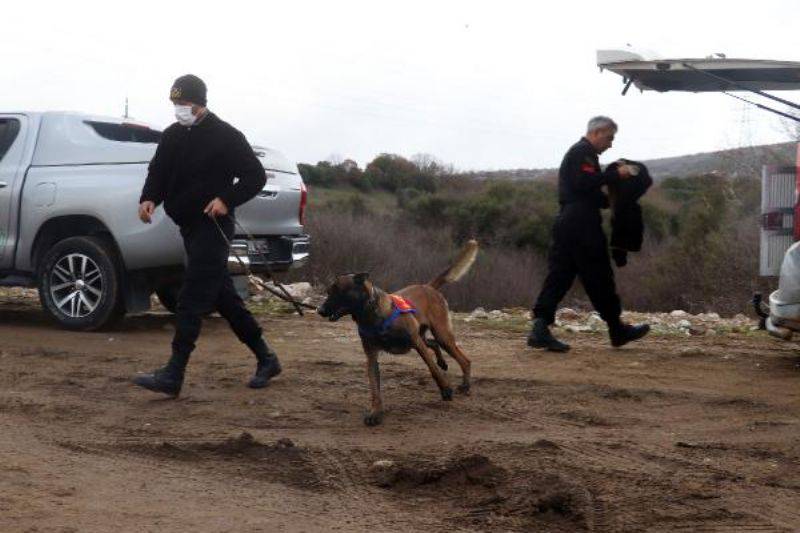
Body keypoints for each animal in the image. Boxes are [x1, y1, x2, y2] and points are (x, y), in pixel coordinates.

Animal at [316, 240, 478, 424]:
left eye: (338, 291)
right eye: (328, 291)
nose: (319, 310)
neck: (372, 314)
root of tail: (428, 286)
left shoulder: (415, 341)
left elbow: (432, 369)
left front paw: (445, 390)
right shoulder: (372, 356)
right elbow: (375, 389)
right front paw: (375, 412)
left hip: (441, 334)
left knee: (463, 359)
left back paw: (465, 385)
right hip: (425, 335)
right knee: (433, 344)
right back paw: (443, 362)